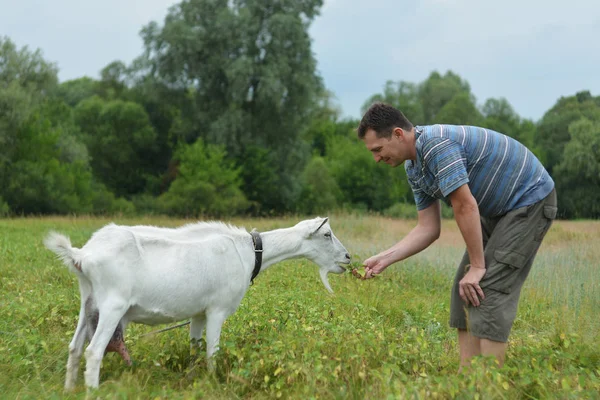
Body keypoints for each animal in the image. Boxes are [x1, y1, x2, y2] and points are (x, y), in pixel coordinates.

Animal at [45, 217, 352, 390]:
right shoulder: (217, 310)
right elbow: (212, 352)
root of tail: (82, 255)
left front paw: (193, 378)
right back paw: (93, 391)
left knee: (74, 348)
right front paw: (213, 381)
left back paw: (68, 390)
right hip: (112, 305)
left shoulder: (198, 313)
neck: (250, 251)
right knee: (93, 351)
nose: (348, 258)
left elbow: (194, 347)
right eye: (327, 234)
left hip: (88, 302)